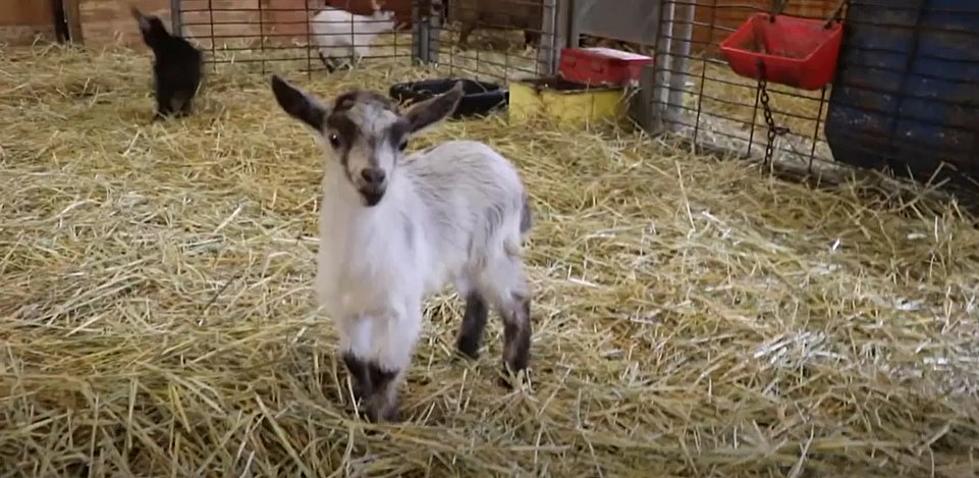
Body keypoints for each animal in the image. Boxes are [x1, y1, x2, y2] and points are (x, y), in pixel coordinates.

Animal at [270, 75, 536, 422]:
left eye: (403, 143)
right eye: (335, 137)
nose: (374, 177)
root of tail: (497, 160)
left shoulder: (401, 309)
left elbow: (385, 368)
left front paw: (382, 417)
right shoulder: (347, 309)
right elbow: (355, 361)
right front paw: (360, 405)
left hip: (495, 251)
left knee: (516, 302)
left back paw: (512, 374)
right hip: (463, 259)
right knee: (478, 298)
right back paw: (463, 354)